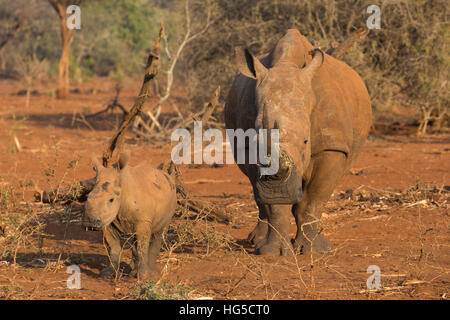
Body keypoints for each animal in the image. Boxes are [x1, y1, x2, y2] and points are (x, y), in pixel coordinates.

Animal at [225, 29, 372, 255]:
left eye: (305, 141)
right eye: (257, 139)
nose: (277, 183)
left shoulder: (332, 146)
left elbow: (314, 200)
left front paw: (313, 250)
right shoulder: (248, 147)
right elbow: (274, 205)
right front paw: (273, 252)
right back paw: (256, 241)